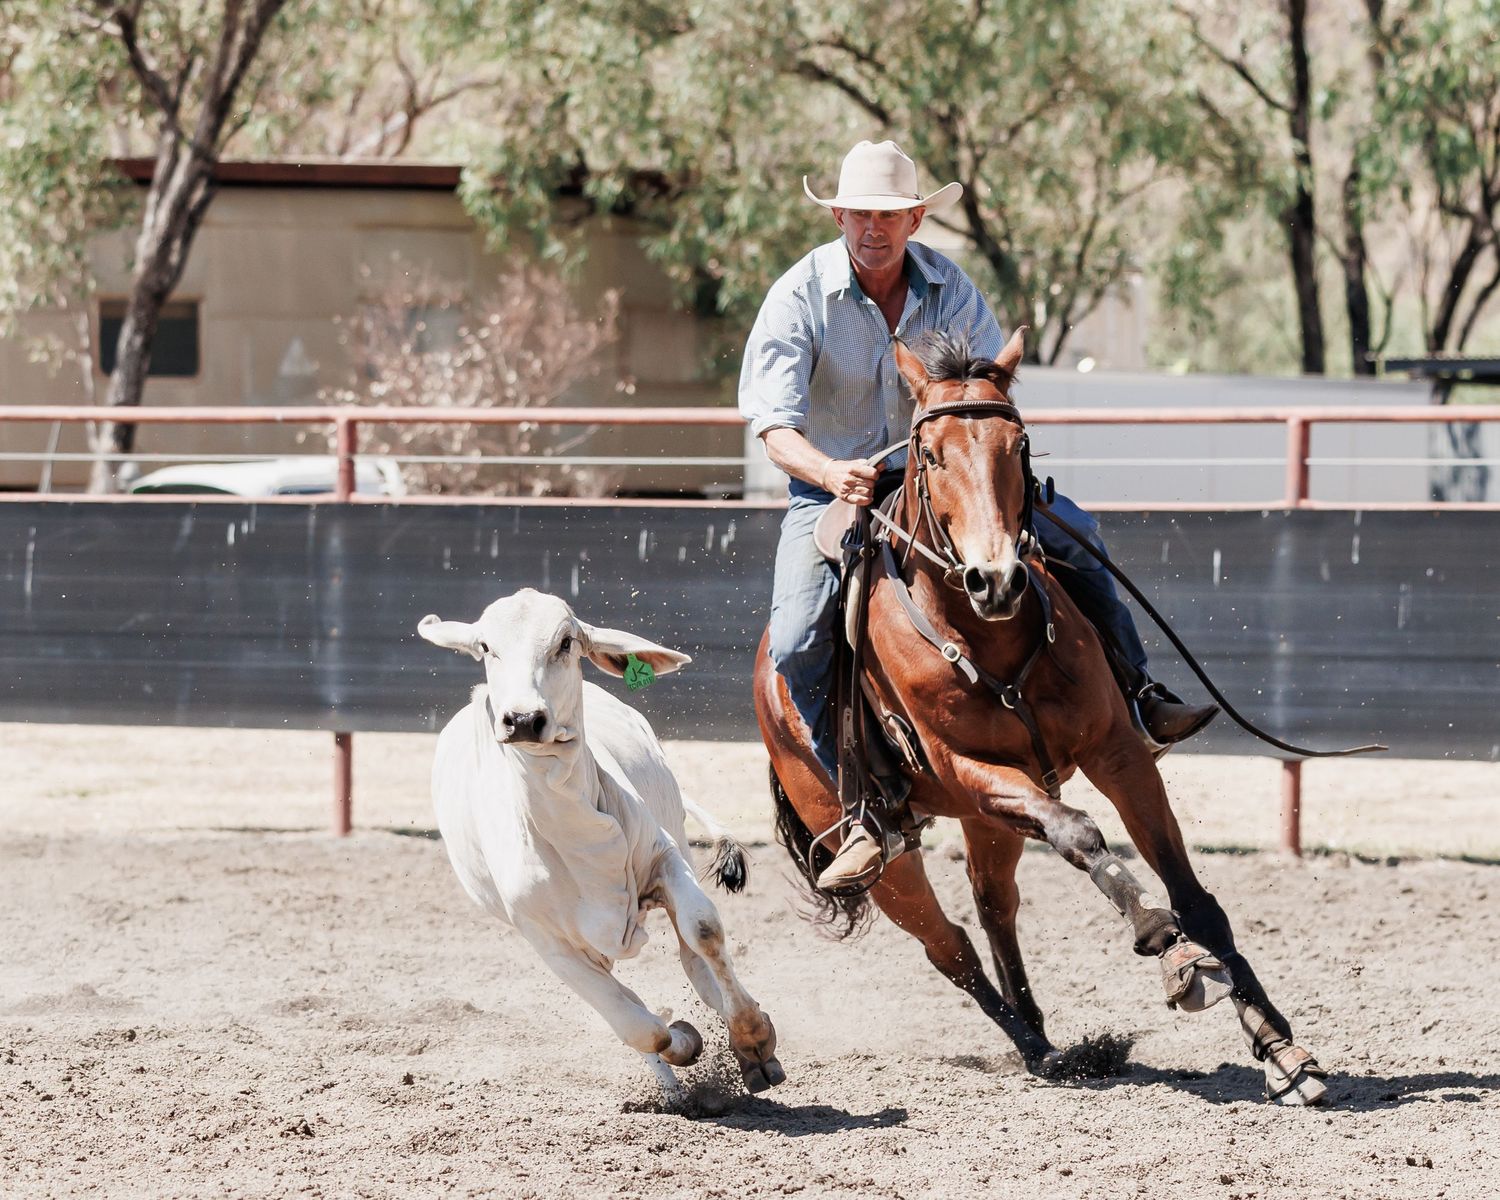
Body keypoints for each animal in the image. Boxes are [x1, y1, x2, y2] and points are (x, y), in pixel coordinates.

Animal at [418, 589, 784, 1100]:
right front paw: (684, 1042)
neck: (577, 838)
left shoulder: (665, 858)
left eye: (565, 642)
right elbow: (640, 1027)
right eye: (487, 647)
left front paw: (754, 1038)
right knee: (632, 1007)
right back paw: (672, 1086)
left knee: (695, 964)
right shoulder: (547, 941)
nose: (523, 719)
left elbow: (705, 931)